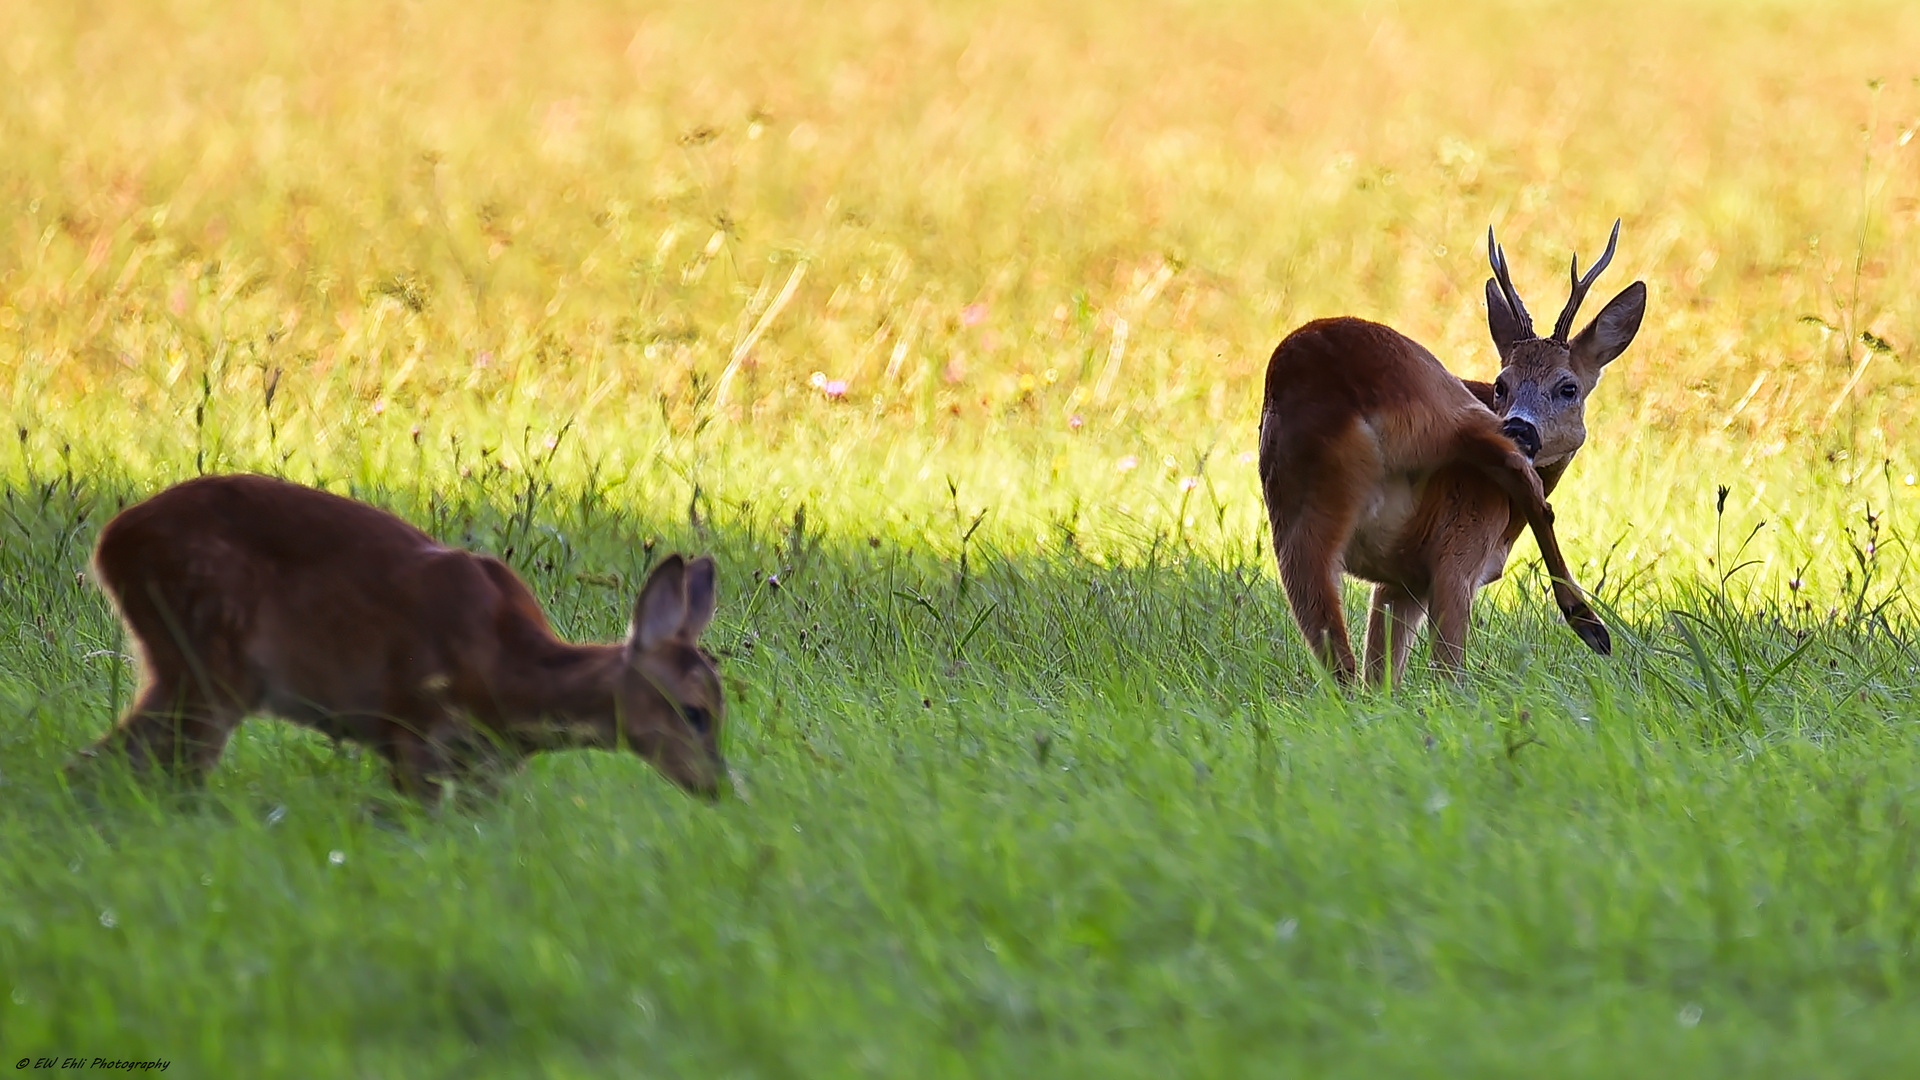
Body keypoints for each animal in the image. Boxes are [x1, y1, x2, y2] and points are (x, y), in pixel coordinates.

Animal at [78, 470, 729, 799]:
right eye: (693, 710)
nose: (717, 784)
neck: (510, 674)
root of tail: (110, 542)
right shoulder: (409, 724)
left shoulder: (482, 771)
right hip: (209, 661)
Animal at [1259, 219, 1651, 680]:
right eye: (1501, 384)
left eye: (1567, 387)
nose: (1520, 426)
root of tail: (1345, 387)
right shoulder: (1454, 556)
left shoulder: (1399, 584)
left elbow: (1383, 674)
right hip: (1442, 402)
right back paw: (1590, 624)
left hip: (1297, 509)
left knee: (1343, 663)